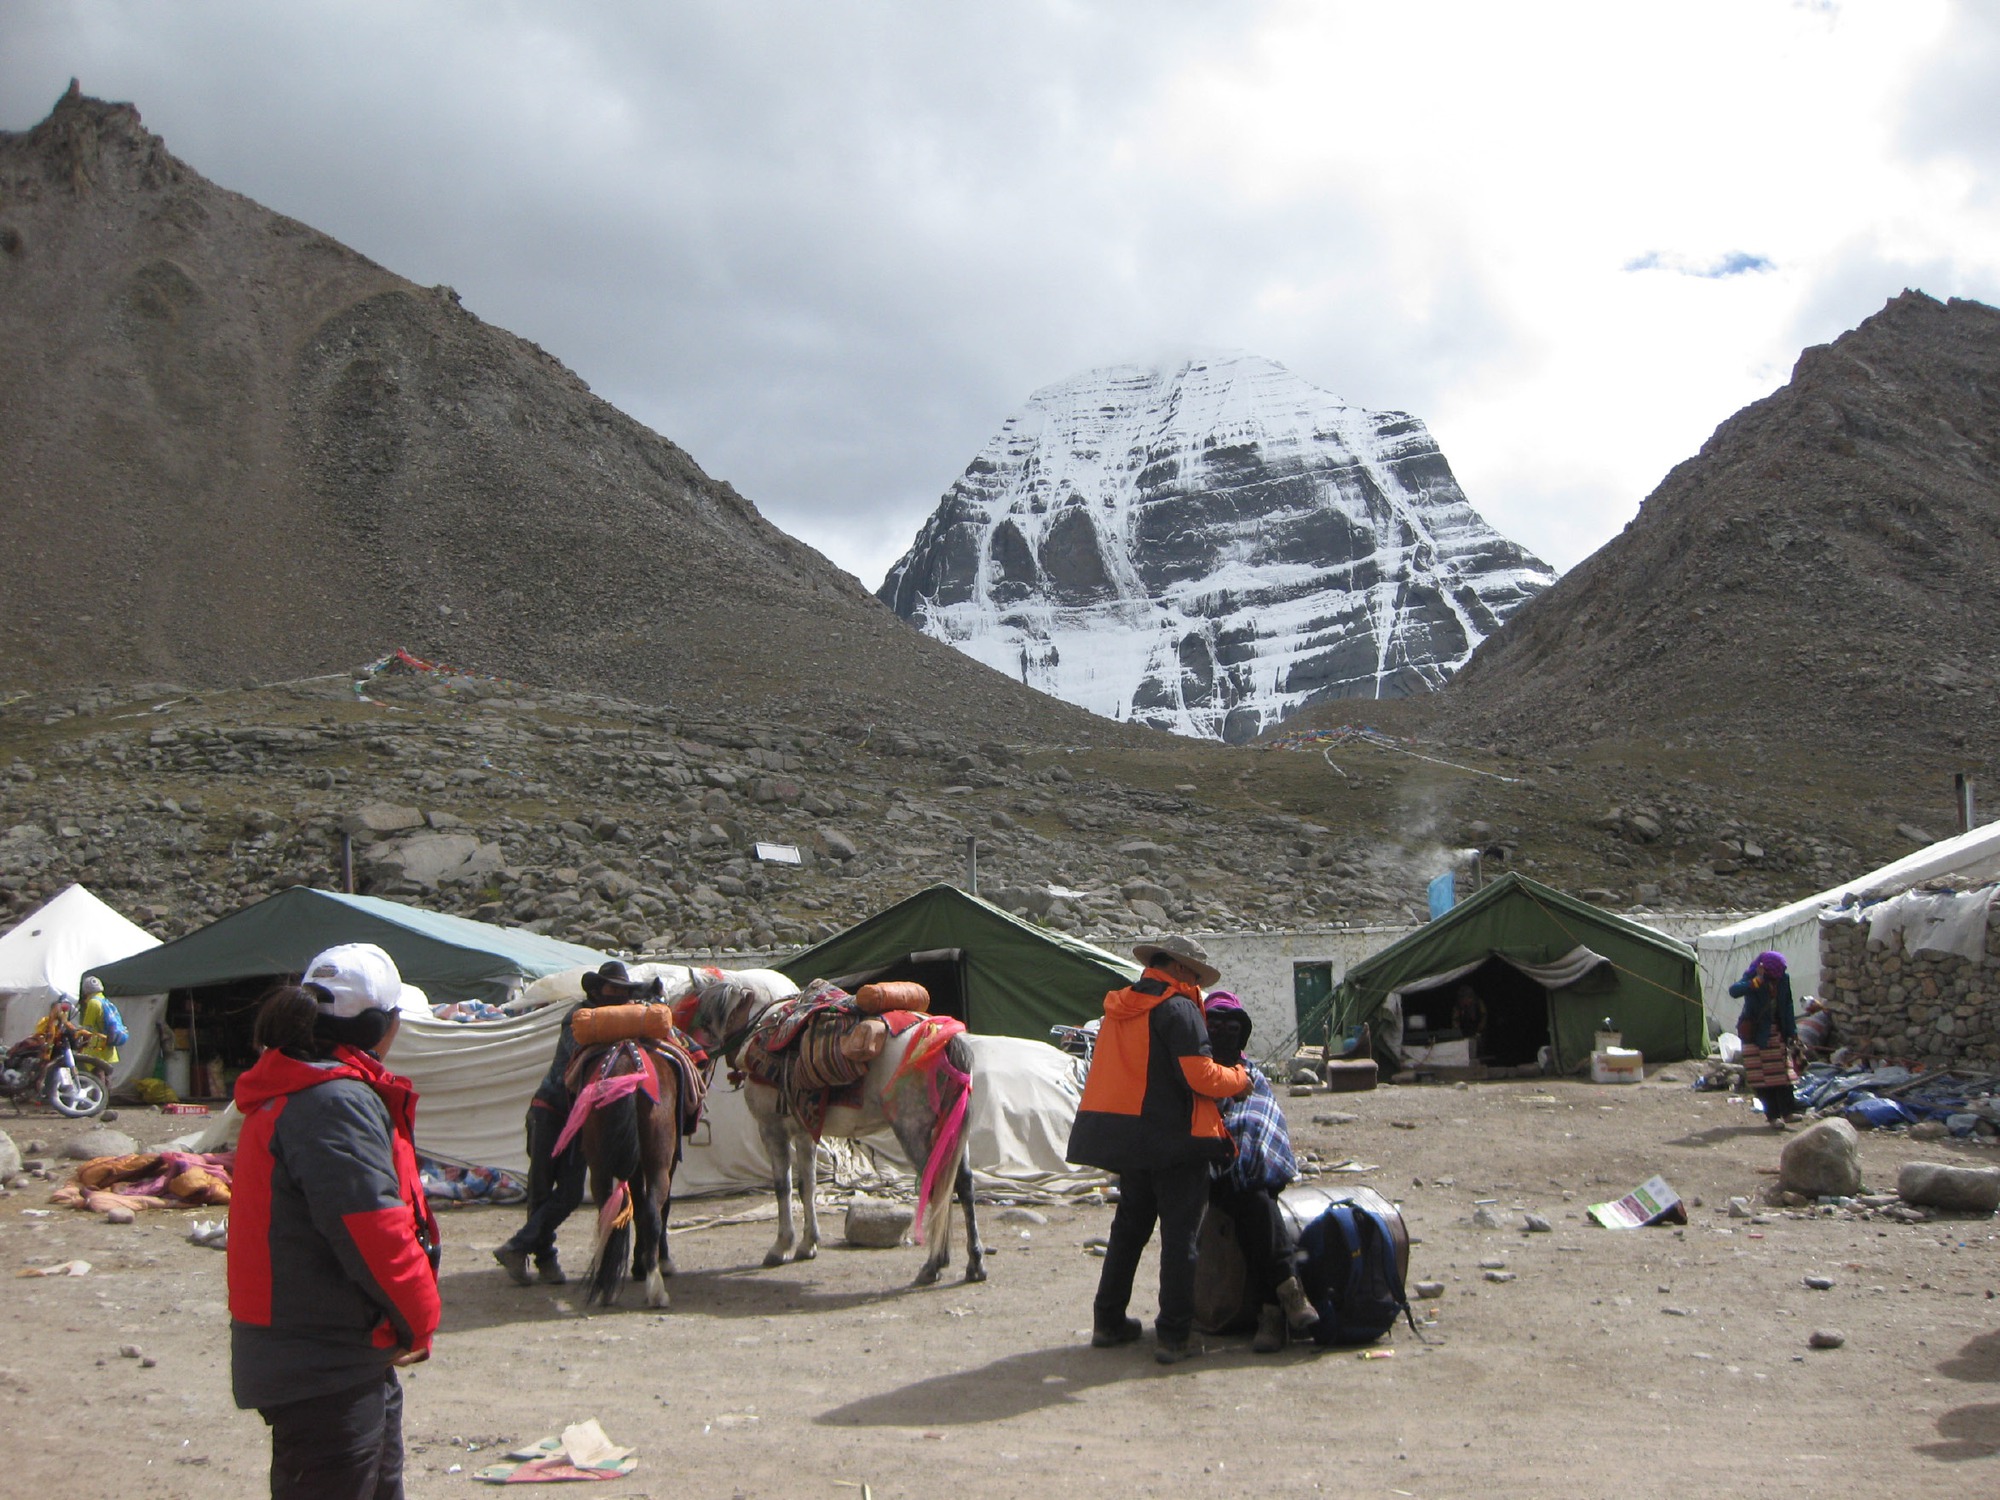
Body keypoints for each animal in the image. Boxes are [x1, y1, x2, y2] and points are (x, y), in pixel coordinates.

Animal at [684, 976, 988, 1296]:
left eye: (699, 1017)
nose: (695, 1059)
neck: (760, 1030)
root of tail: (946, 1039)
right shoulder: (804, 1131)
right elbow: (807, 1186)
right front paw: (807, 1245)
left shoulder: (771, 1129)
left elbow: (783, 1186)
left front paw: (781, 1246)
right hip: (949, 1131)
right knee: (963, 1184)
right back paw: (973, 1263)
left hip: (914, 1130)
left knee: (938, 1185)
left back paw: (933, 1264)